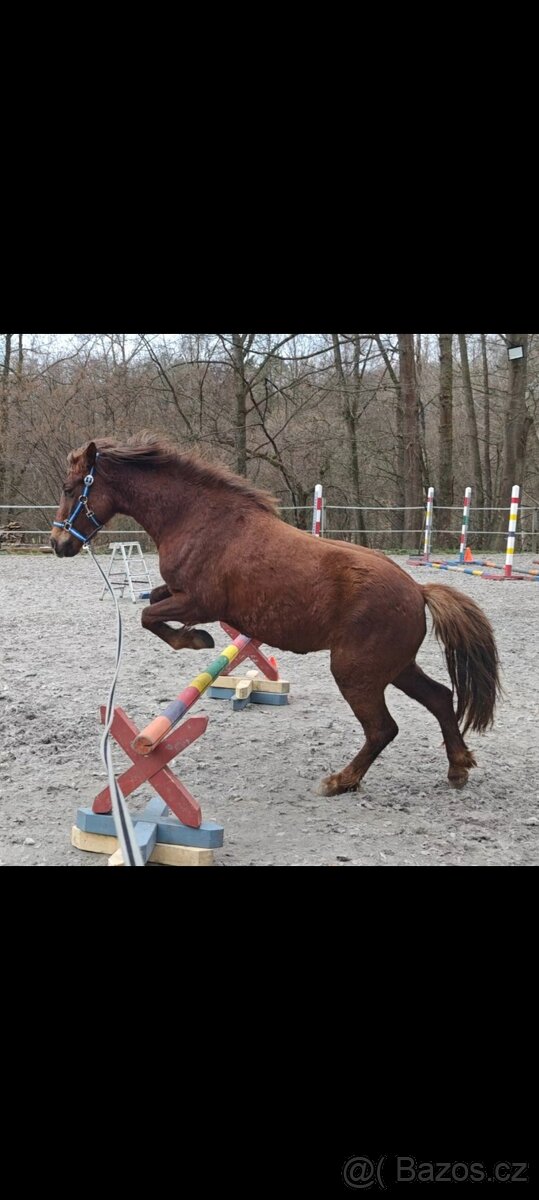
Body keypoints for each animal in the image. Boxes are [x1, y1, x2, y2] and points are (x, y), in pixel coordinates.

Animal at [50, 432, 501, 795]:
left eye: (71, 488)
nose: (58, 544)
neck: (196, 519)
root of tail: (418, 590)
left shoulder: (199, 602)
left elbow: (149, 617)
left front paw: (195, 639)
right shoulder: (178, 593)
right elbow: (150, 604)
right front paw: (195, 637)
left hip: (357, 673)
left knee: (382, 729)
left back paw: (341, 781)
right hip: (395, 668)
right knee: (440, 698)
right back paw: (458, 768)